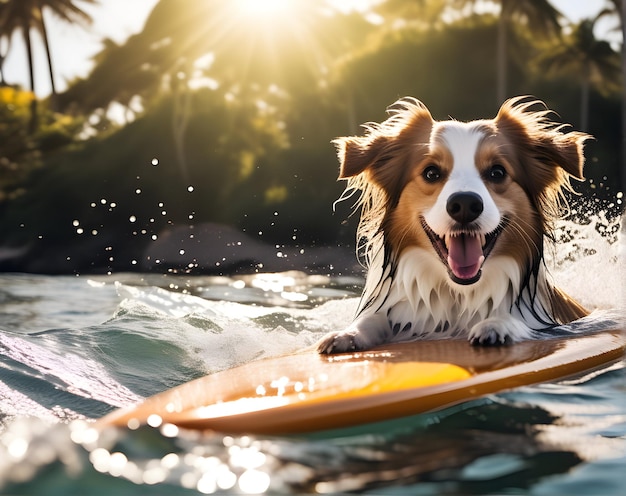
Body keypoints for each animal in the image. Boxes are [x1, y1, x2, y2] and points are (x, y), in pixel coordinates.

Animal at [316, 96, 588, 352]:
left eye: (497, 172)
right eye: (431, 173)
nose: (465, 204)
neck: (459, 296)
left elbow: (519, 321)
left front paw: (496, 324)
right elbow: (373, 318)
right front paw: (348, 334)